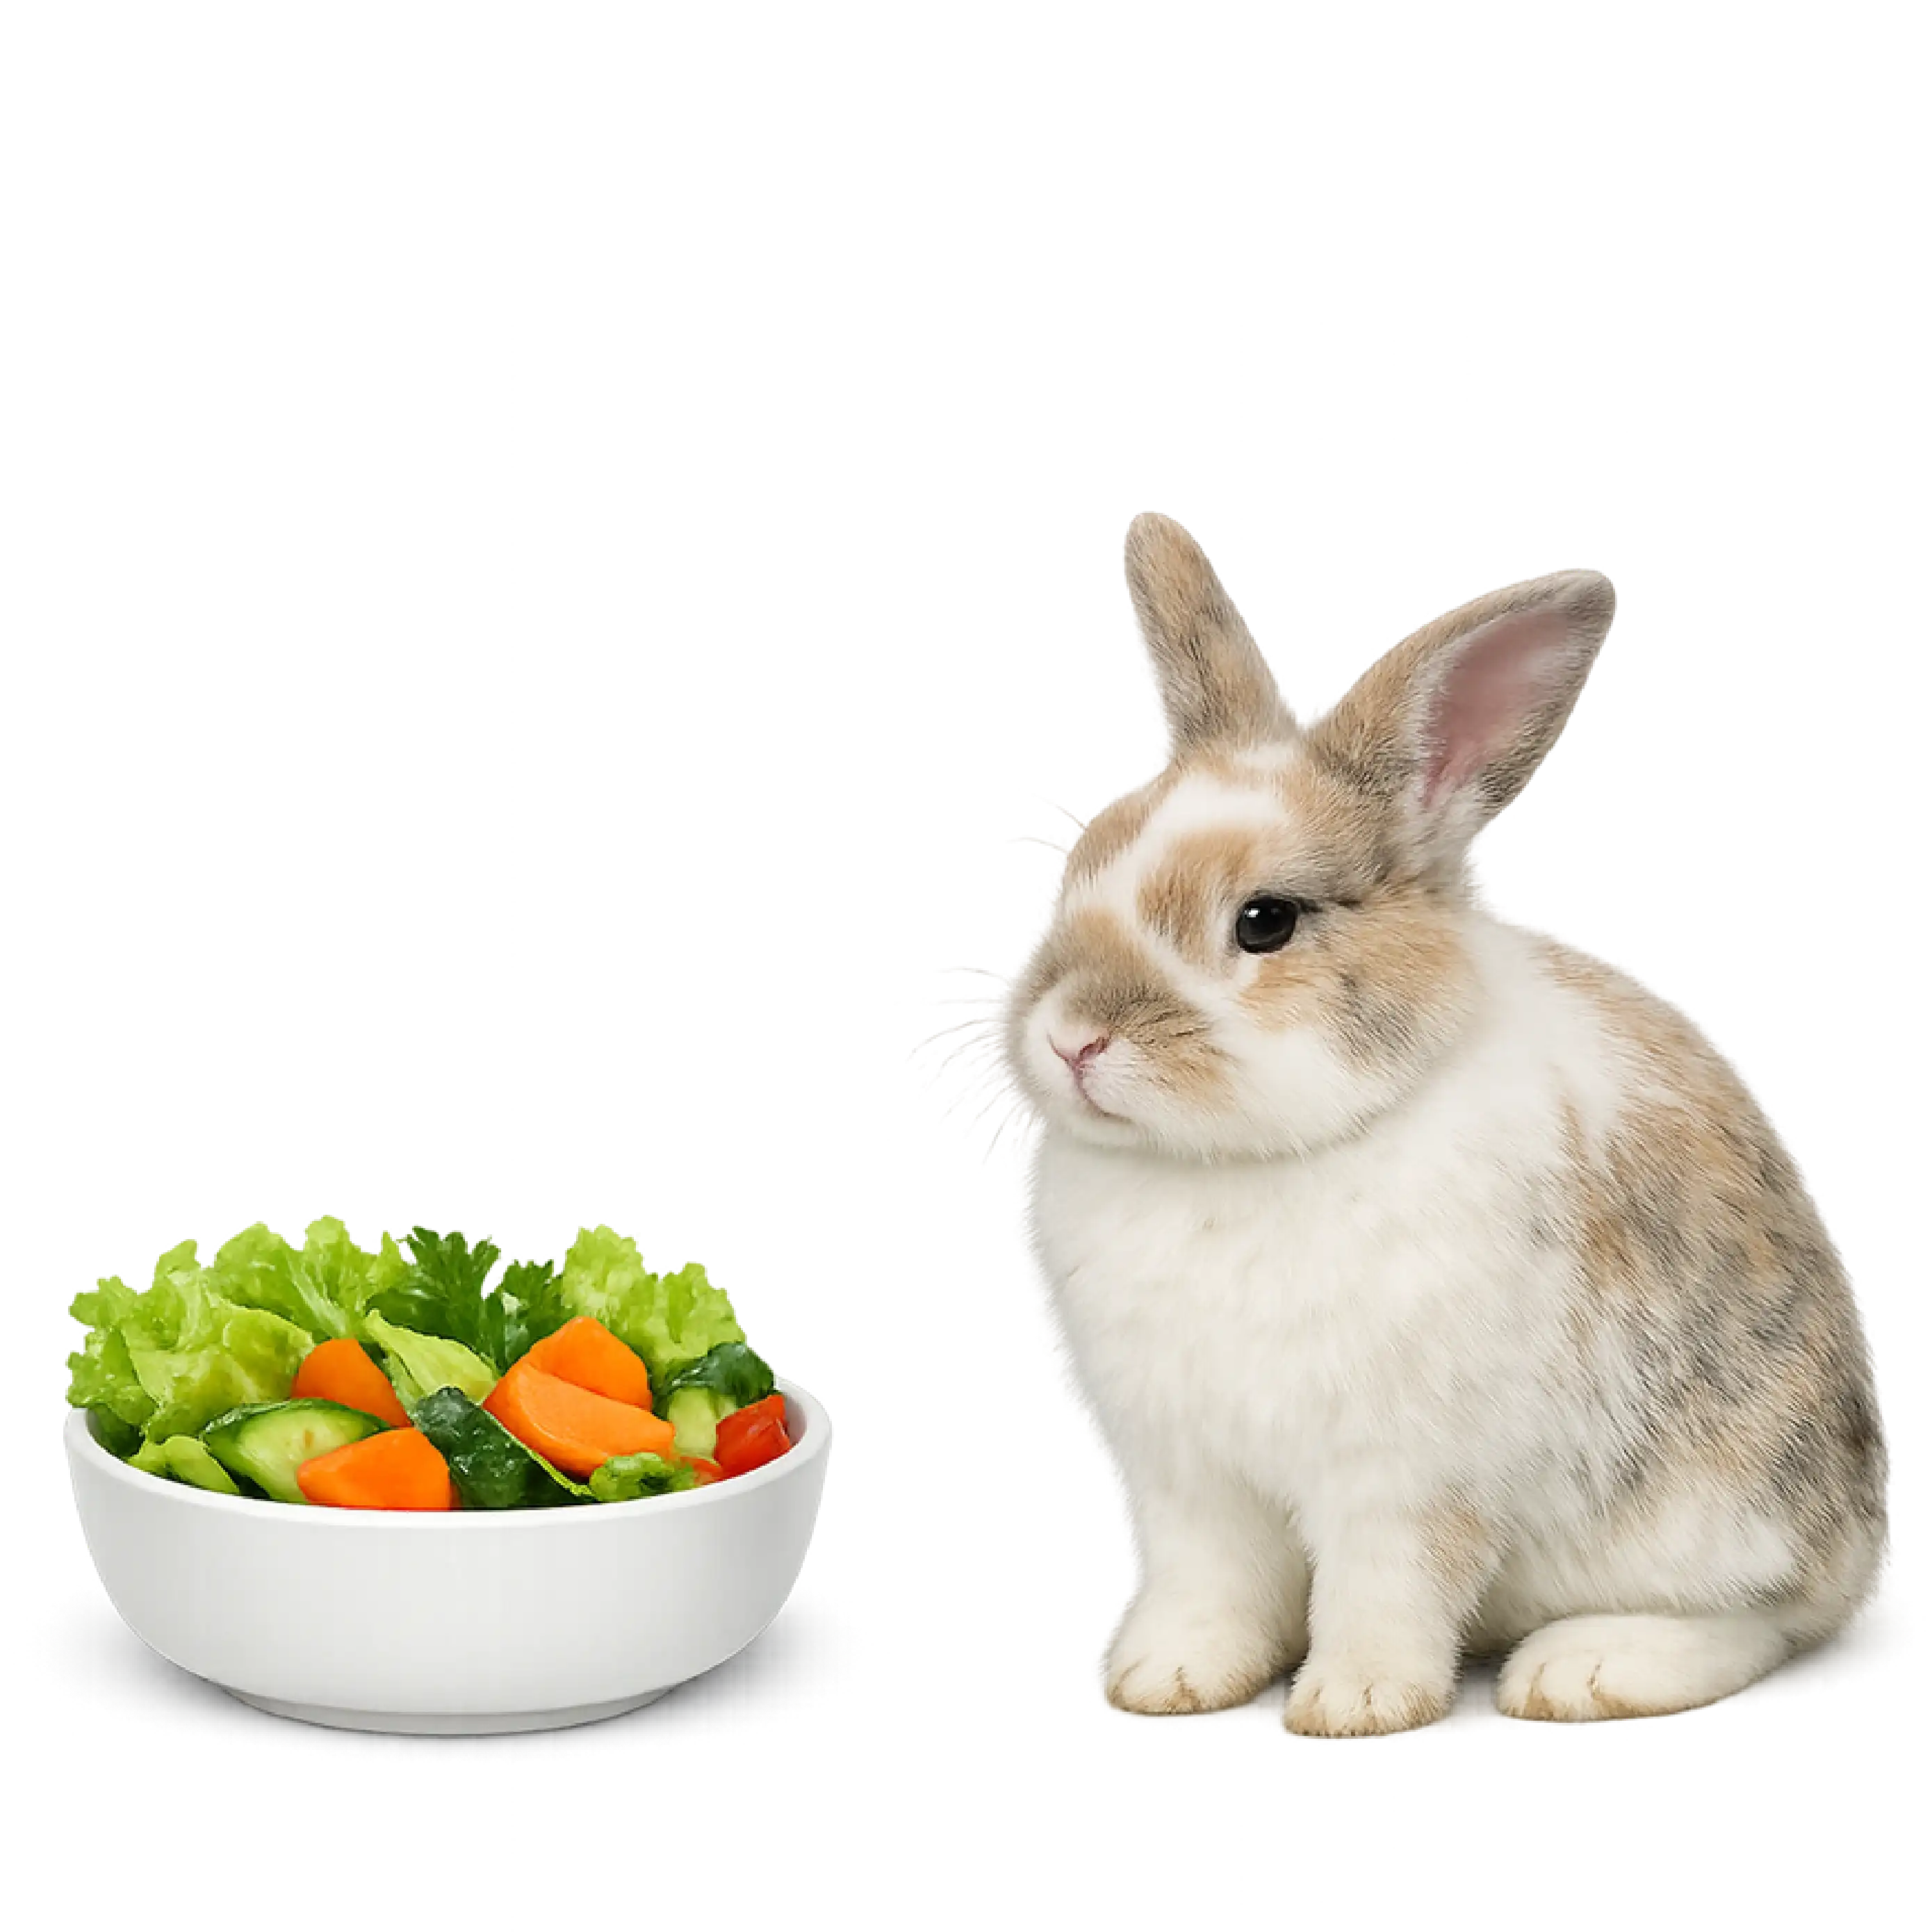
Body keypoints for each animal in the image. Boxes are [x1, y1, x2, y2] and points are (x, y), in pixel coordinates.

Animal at [966, 510, 1895, 1736]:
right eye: (1072, 872)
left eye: (1265, 922)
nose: (1073, 1037)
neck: (1229, 1164)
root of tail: (1863, 1540)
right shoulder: (1182, 1480)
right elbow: (1207, 1590)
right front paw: (1162, 1682)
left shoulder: (1408, 1481)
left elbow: (1386, 1589)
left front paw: (1355, 1706)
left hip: (1719, 1505)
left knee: (1759, 1622)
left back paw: (1580, 1671)